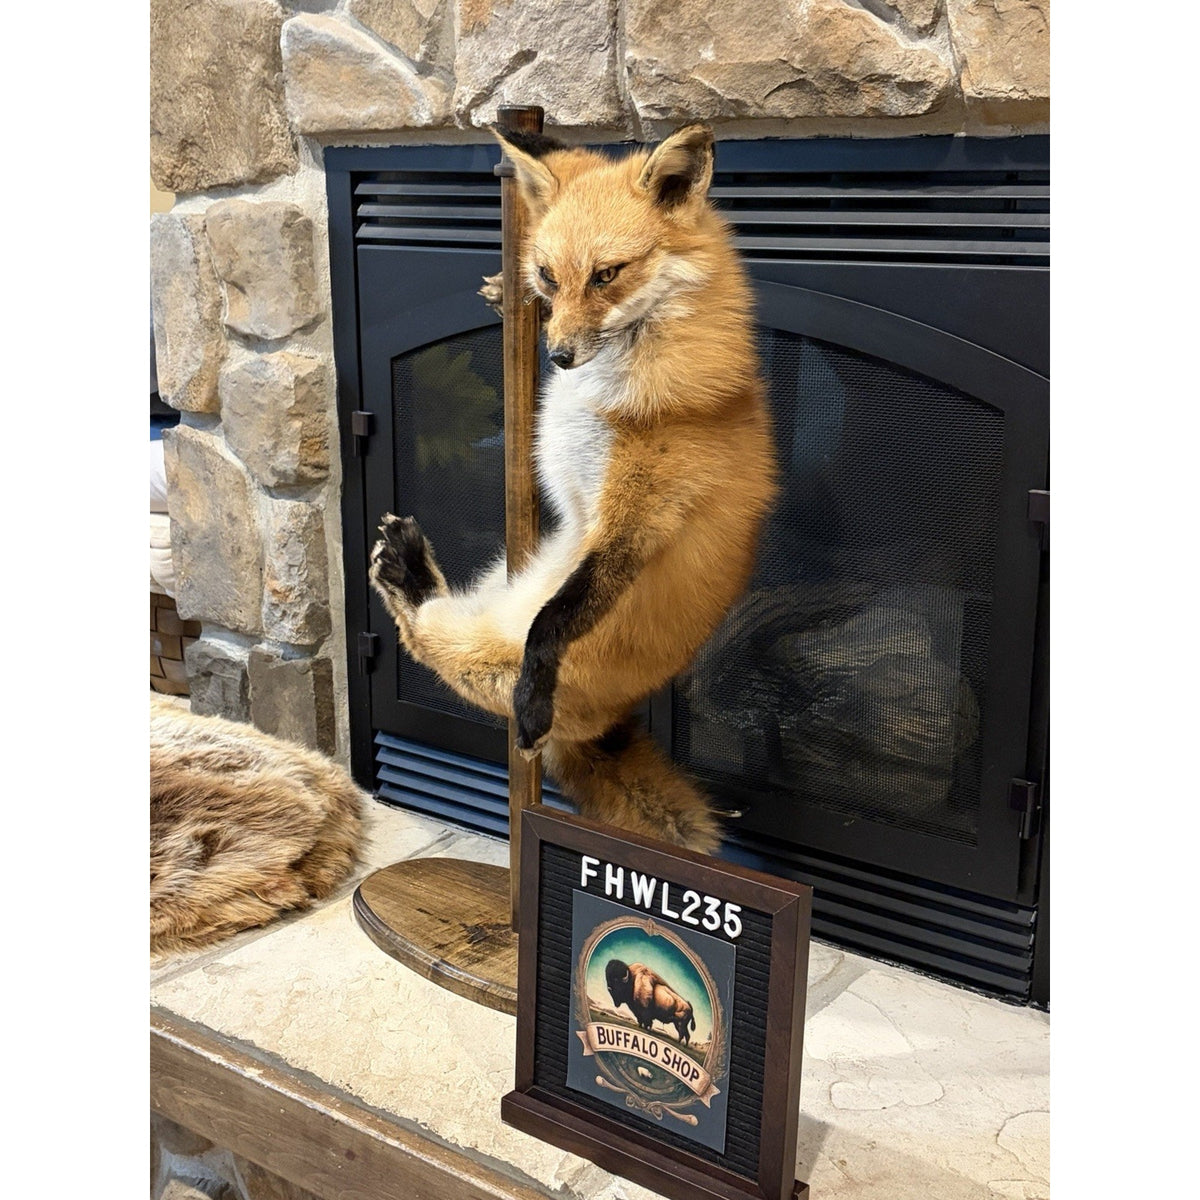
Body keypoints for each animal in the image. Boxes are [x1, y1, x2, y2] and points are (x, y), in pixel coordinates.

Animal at [369, 122, 777, 853]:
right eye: (549, 275)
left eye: (607, 275)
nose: (558, 357)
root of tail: (608, 719)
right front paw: (505, 293)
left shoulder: (638, 522)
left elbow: (553, 623)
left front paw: (533, 703)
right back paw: (408, 567)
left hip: (483, 645)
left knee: (429, 637)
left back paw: (404, 572)